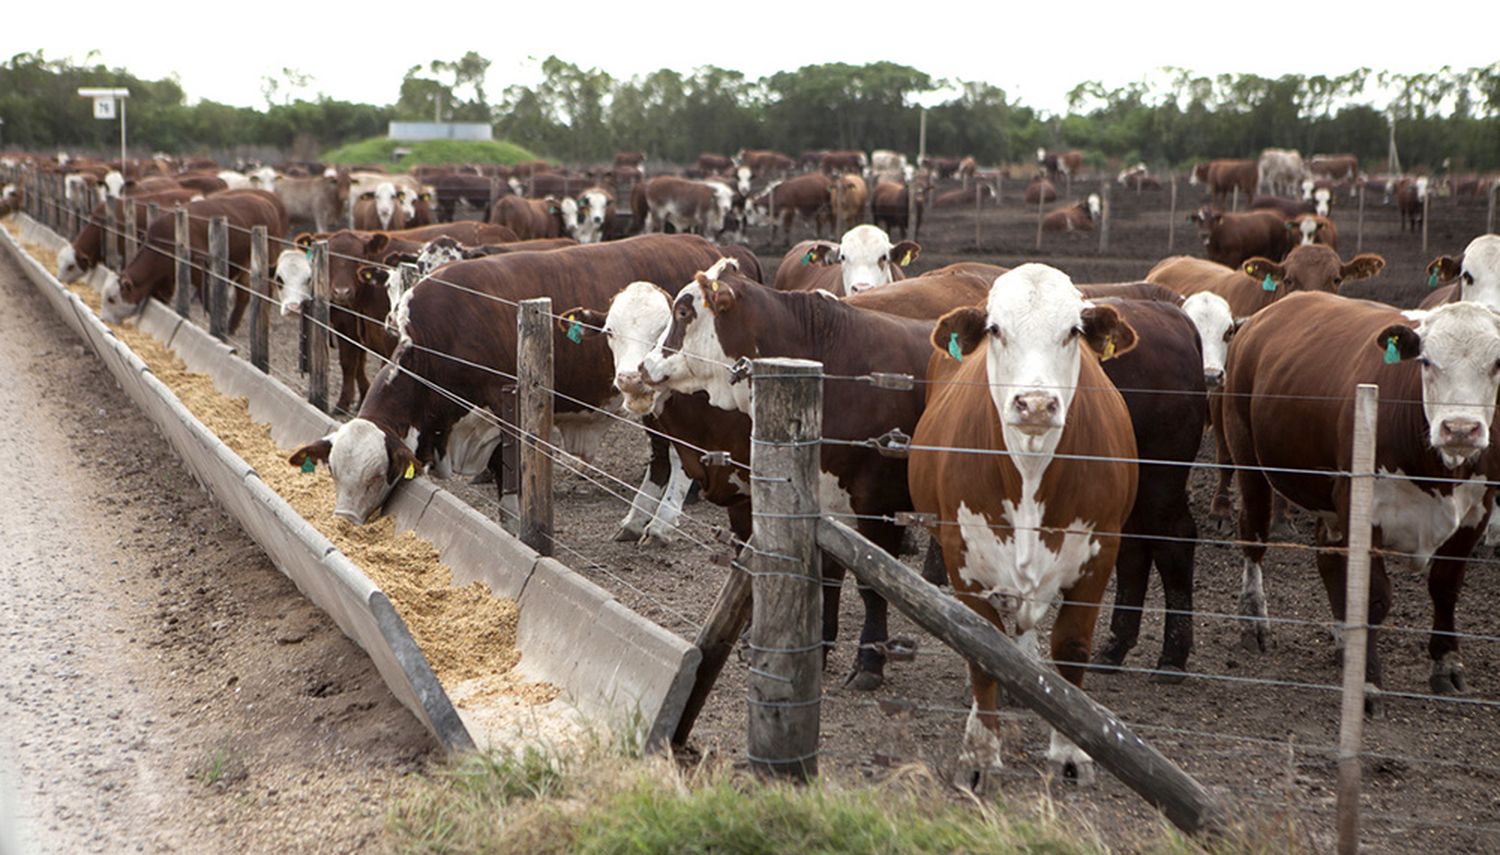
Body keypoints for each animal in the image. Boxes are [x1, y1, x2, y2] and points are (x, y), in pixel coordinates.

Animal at [912, 262, 1134, 780]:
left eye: (1073, 331)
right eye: (996, 329)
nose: (1034, 404)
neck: (1030, 471)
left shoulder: (1100, 554)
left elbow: (1072, 647)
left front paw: (1070, 750)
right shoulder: (963, 556)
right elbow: (981, 652)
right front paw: (979, 751)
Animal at [1224, 291, 1500, 693]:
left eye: (1497, 363)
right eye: (1426, 361)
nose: (1460, 429)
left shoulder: (1477, 511)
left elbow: (1445, 586)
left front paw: (1446, 664)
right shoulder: (1362, 507)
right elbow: (1373, 596)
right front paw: (1368, 681)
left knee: (1328, 555)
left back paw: (1343, 639)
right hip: (1248, 459)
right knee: (1254, 537)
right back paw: (1254, 621)